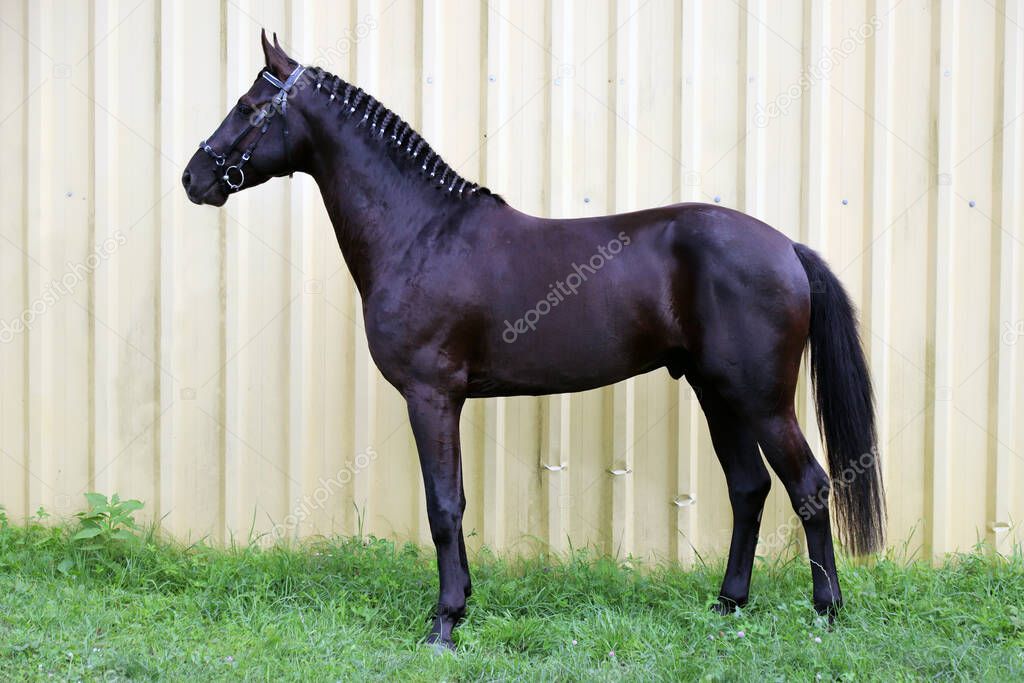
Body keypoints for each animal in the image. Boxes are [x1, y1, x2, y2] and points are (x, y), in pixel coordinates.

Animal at [184, 33, 888, 651]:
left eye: (248, 106)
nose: (195, 178)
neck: (421, 234)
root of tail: (786, 248)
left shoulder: (431, 395)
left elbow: (443, 504)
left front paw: (443, 623)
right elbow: (455, 502)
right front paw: (462, 606)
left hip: (762, 400)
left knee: (809, 487)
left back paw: (826, 613)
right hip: (720, 395)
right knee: (749, 489)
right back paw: (727, 605)